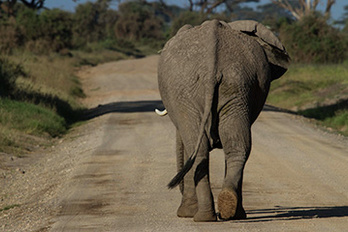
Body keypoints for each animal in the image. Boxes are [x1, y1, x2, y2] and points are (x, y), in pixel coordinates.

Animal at [156, 19, 290, 221]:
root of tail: (212, 63)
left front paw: (184, 214)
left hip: (188, 93)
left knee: (198, 150)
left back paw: (201, 217)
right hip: (237, 86)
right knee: (237, 146)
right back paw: (230, 209)